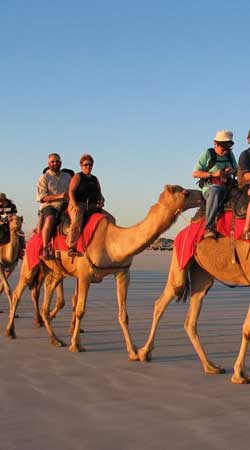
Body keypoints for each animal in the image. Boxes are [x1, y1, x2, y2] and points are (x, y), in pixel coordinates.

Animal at [5, 185, 201, 356]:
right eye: (185, 192)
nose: (201, 195)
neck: (111, 241)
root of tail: (33, 235)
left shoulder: (122, 273)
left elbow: (123, 315)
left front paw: (133, 351)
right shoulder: (84, 275)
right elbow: (80, 309)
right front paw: (76, 345)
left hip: (54, 272)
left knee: (45, 303)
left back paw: (55, 339)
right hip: (30, 263)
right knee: (18, 293)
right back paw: (10, 332)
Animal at [138, 236, 250, 384]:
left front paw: (240, 373)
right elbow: (248, 328)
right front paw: (239, 374)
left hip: (201, 274)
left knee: (190, 320)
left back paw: (210, 366)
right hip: (180, 263)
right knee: (162, 302)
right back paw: (144, 353)